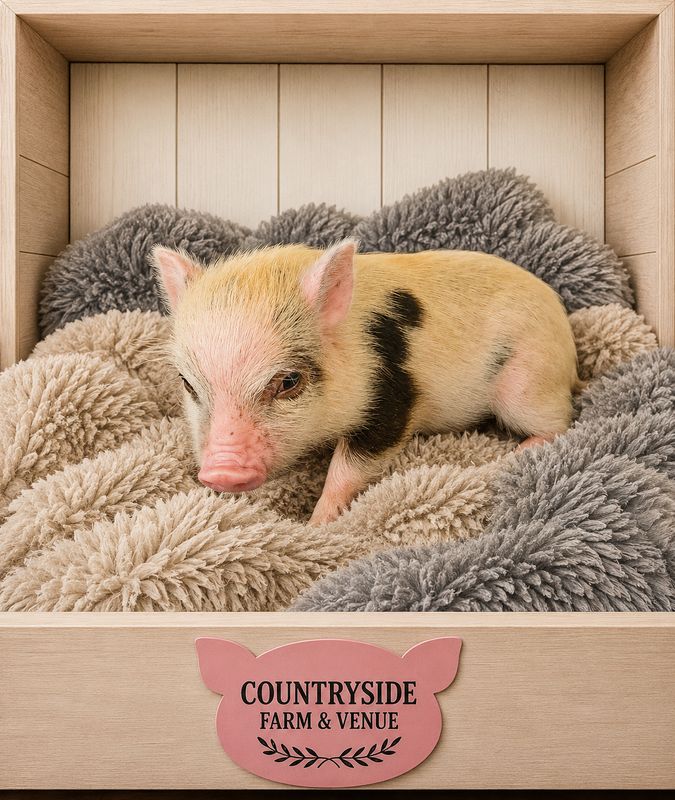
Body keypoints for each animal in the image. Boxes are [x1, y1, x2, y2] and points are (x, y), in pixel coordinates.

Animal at [152, 240, 580, 525]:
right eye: (188, 384)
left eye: (289, 381)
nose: (221, 473)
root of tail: (563, 327)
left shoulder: (392, 399)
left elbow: (348, 468)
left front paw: (317, 525)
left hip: (526, 381)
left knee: (562, 424)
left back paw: (515, 452)